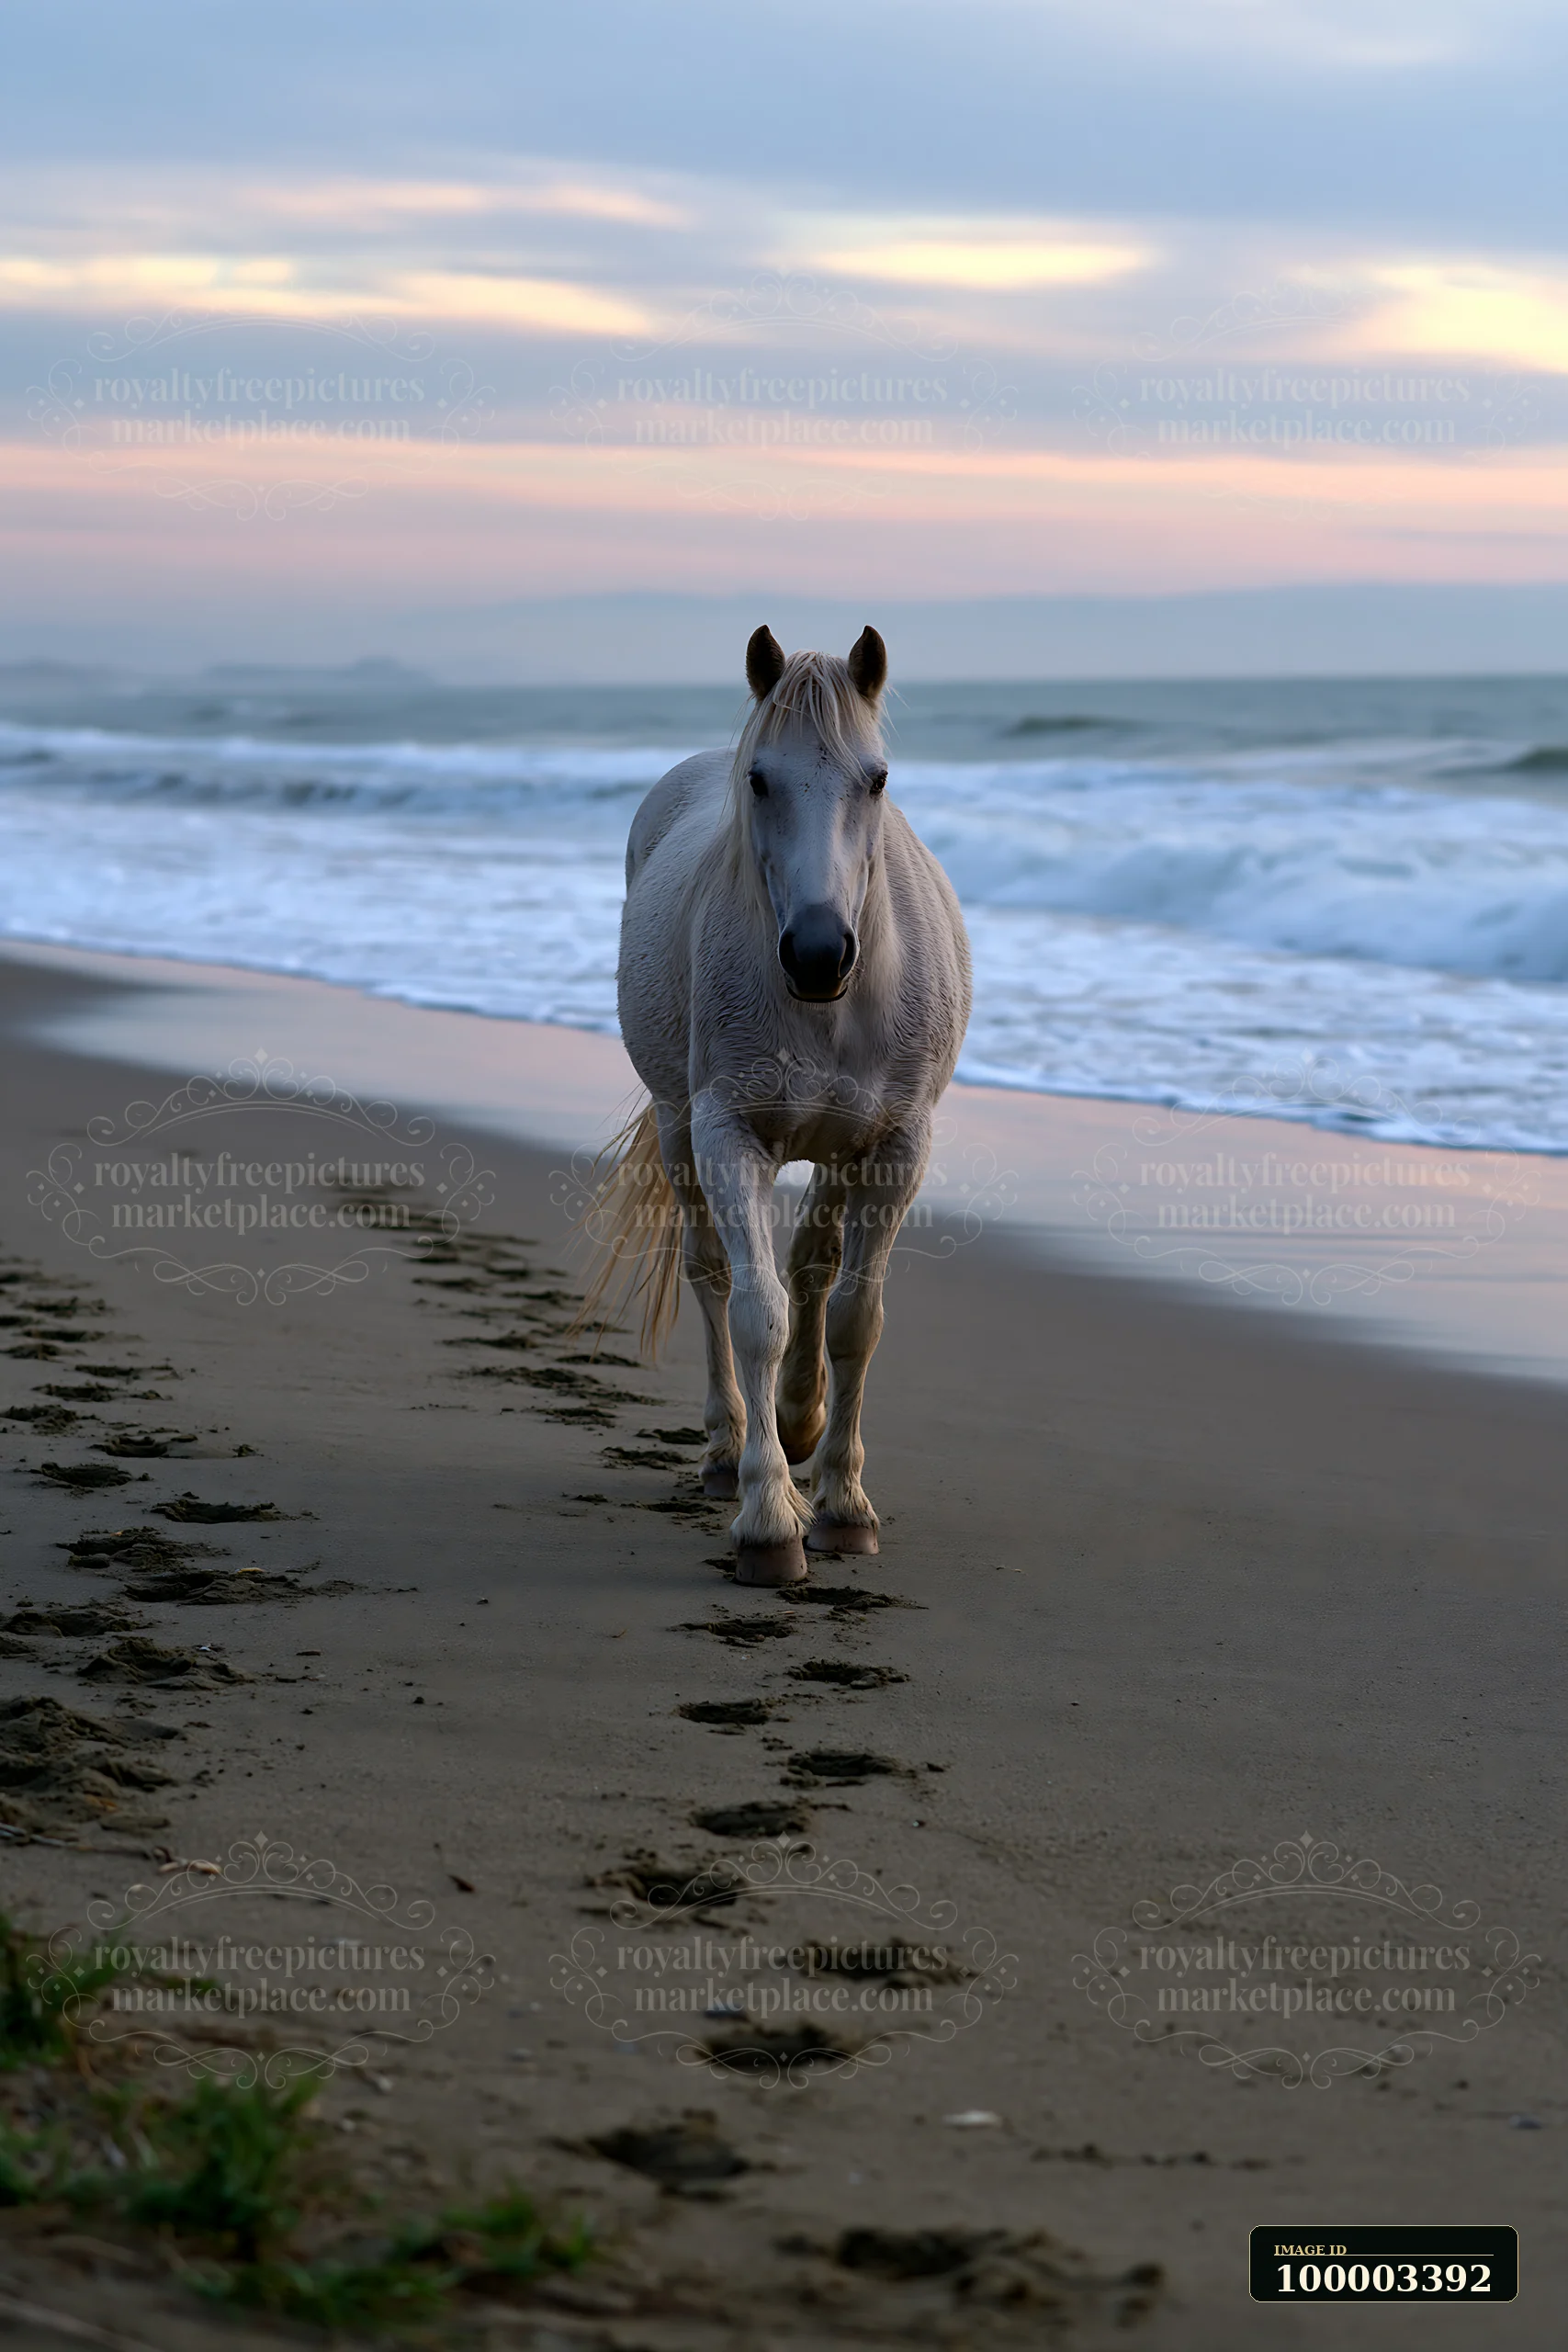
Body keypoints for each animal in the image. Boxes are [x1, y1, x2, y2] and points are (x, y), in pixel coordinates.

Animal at [590, 624, 971, 1585]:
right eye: (759, 778)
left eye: (876, 778)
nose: (817, 952)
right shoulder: (730, 1138)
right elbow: (757, 1312)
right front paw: (769, 1518)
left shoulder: (893, 1148)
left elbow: (852, 1318)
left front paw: (842, 1503)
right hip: (681, 1131)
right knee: (714, 1277)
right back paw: (731, 1450)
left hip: (837, 1149)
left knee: (814, 1273)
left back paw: (800, 1422)